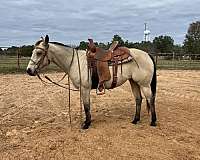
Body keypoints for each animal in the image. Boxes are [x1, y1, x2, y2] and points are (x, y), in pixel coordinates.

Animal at [26, 35, 157, 129]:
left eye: (39, 53)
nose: (29, 70)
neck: (75, 62)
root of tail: (147, 54)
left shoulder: (85, 88)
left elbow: (86, 106)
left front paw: (86, 124)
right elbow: (86, 106)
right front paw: (86, 121)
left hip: (144, 84)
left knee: (150, 99)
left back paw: (153, 121)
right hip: (133, 82)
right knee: (138, 99)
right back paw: (135, 120)